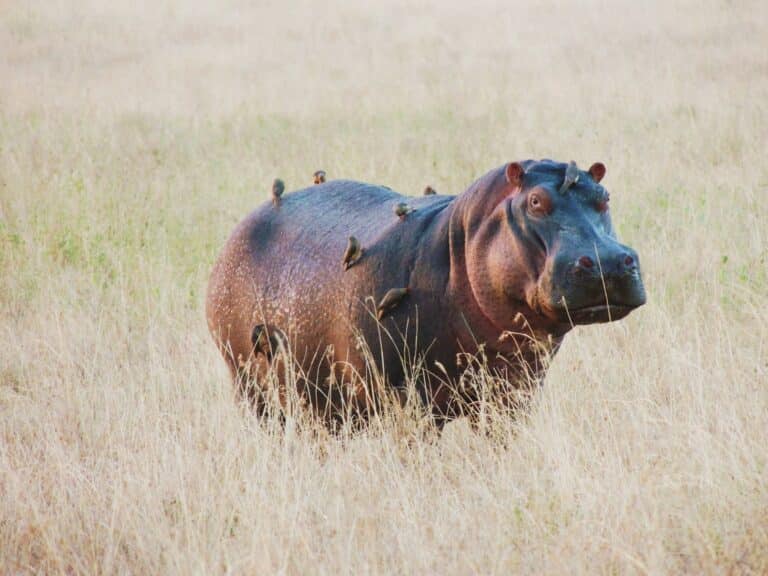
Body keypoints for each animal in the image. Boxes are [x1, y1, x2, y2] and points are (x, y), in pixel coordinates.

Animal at [206, 160, 646, 423]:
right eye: (535, 201)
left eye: (605, 197)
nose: (608, 260)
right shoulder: (407, 403)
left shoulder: (512, 394)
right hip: (253, 388)